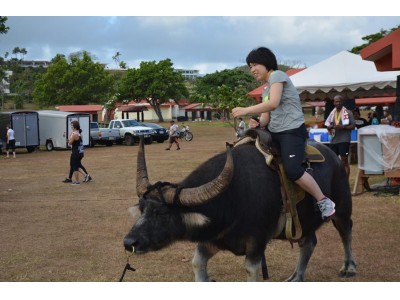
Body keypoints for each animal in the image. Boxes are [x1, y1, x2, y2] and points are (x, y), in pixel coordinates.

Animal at [124, 132, 356, 280]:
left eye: (162, 212)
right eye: (142, 209)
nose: (129, 242)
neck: (232, 199)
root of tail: (336, 158)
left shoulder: (256, 245)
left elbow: (251, 270)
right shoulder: (212, 240)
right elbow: (197, 263)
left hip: (342, 208)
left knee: (346, 231)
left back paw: (349, 267)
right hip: (304, 221)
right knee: (309, 243)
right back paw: (296, 277)